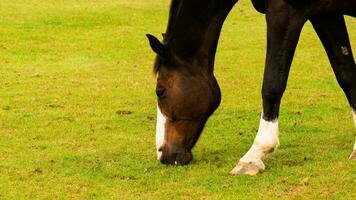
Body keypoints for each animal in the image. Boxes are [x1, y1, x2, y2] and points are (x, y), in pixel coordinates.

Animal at [145, 0, 356, 175]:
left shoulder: (284, 12)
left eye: (160, 91)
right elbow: (346, 74)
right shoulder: (326, 14)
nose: (163, 154)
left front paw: (253, 156)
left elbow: (272, 84)